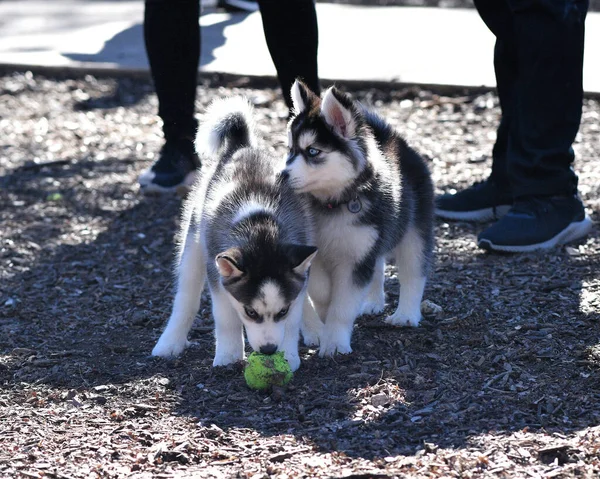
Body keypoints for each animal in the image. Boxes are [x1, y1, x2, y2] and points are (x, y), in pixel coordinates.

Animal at [154, 96, 324, 372]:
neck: (261, 230)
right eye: (250, 312)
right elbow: (226, 318)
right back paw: (170, 342)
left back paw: (316, 329)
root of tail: (241, 146)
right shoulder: (218, 276)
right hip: (193, 244)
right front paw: (229, 355)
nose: (269, 350)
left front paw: (289, 355)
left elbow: (294, 314)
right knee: (186, 298)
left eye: (281, 312)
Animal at [284, 80, 434, 358]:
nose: (280, 176)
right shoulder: (313, 252)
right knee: (378, 267)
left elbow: (343, 307)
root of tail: (396, 140)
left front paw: (334, 343)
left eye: (312, 151)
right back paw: (373, 302)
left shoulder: (356, 258)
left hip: (413, 231)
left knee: (413, 272)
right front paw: (324, 311)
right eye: (290, 150)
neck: (333, 203)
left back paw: (406, 314)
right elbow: (320, 289)